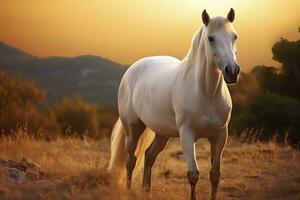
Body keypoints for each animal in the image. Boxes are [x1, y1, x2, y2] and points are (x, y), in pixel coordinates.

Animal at [109, 8, 240, 200]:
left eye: (234, 37)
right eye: (211, 38)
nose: (232, 71)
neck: (206, 93)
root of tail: (132, 70)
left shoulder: (220, 136)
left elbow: (215, 175)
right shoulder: (187, 135)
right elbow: (193, 175)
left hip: (162, 133)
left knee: (149, 156)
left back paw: (146, 191)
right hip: (132, 129)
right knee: (131, 160)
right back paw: (128, 190)